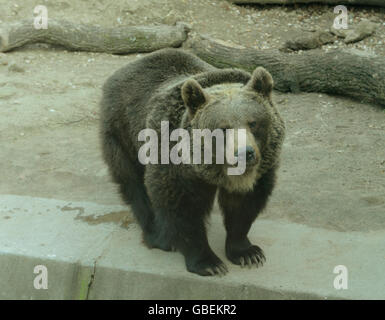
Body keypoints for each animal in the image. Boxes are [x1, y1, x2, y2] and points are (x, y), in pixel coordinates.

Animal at [100, 48, 284, 276]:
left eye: (253, 123)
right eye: (223, 128)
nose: (245, 153)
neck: (212, 168)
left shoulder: (261, 170)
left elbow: (244, 205)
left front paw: (247, 252)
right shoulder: (173, 160)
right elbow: (182, 207)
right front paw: (208, 262)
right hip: (123, 133)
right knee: (133, 183)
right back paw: (158, 236)